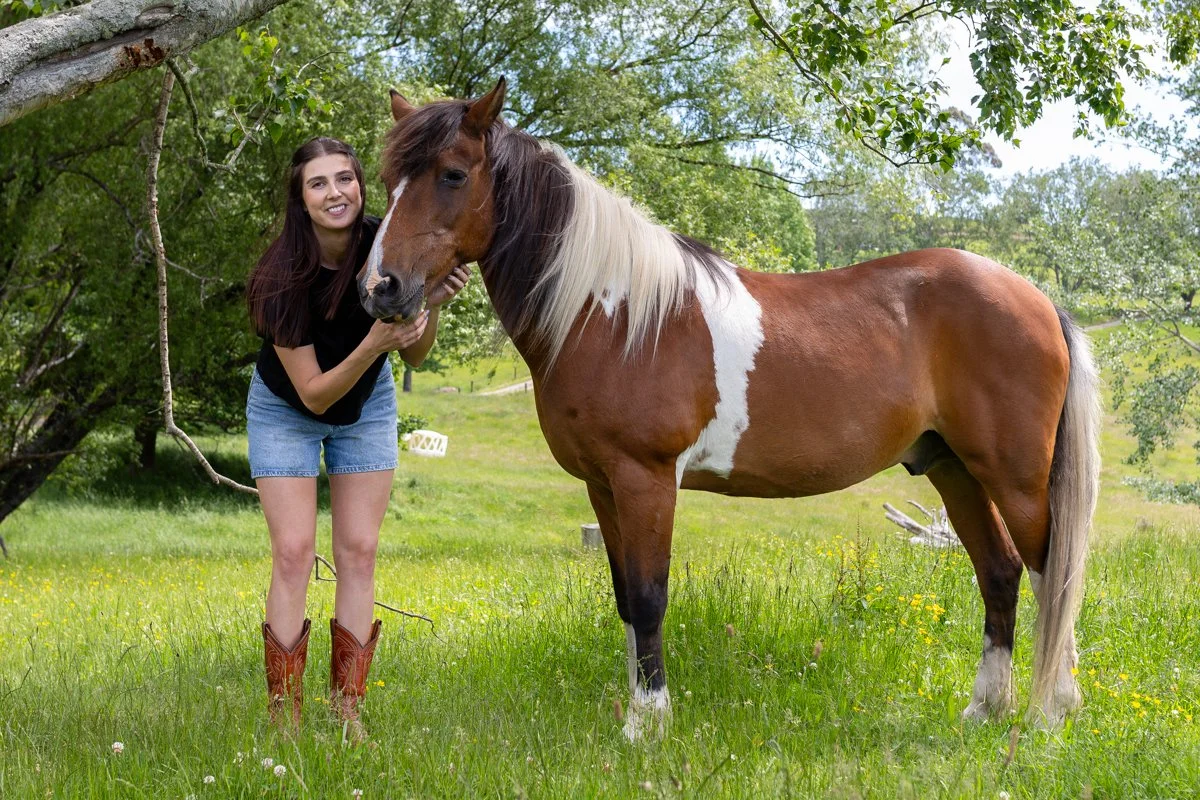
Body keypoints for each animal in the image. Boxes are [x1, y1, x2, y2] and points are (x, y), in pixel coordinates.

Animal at [357, 78, 1101, 739]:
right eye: (389, 179)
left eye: (453, 174)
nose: (380, 289)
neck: (614, 314)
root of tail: (1040, 300)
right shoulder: (603, 485)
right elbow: (625, 597)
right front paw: (633, 707)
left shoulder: (646, 478)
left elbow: (650, 595)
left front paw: (648, 724)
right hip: (954, 470)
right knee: (1000, 574)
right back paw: (984, 710)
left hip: (1015, 478)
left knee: (1052, 575)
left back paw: (1050, 713)